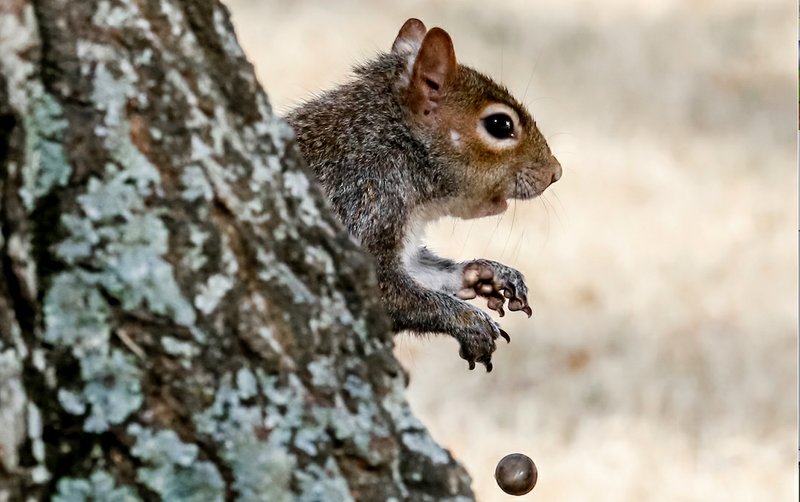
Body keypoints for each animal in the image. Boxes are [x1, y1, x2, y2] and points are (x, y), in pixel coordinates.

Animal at [288, 18, 564, 372]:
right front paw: (466, 321)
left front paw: (485, 274)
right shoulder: (363, 199)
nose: (555, 172)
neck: (397, 145)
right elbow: (384, 290)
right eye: (500, 124)